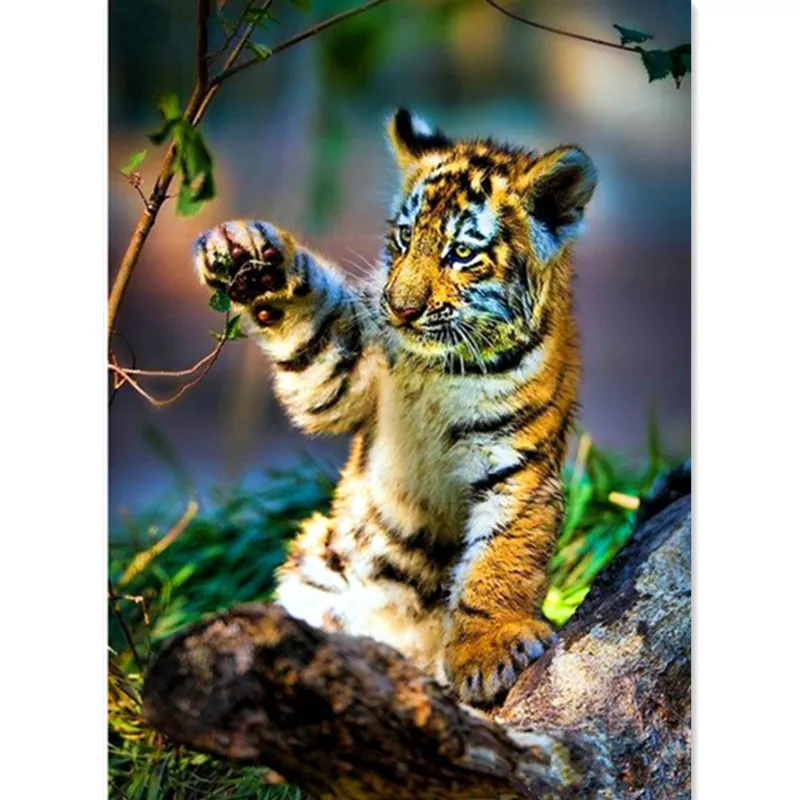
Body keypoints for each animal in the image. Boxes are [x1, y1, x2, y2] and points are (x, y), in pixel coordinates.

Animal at [192, 109, 597, 705]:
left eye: (461, 253)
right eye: (405, 237)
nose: (402, 309)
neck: (443, 366)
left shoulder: (516, 463)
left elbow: (500, 559)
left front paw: (487, 652)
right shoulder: (346, 379)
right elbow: (314, 335)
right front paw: (247, 254)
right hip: (318, 565)